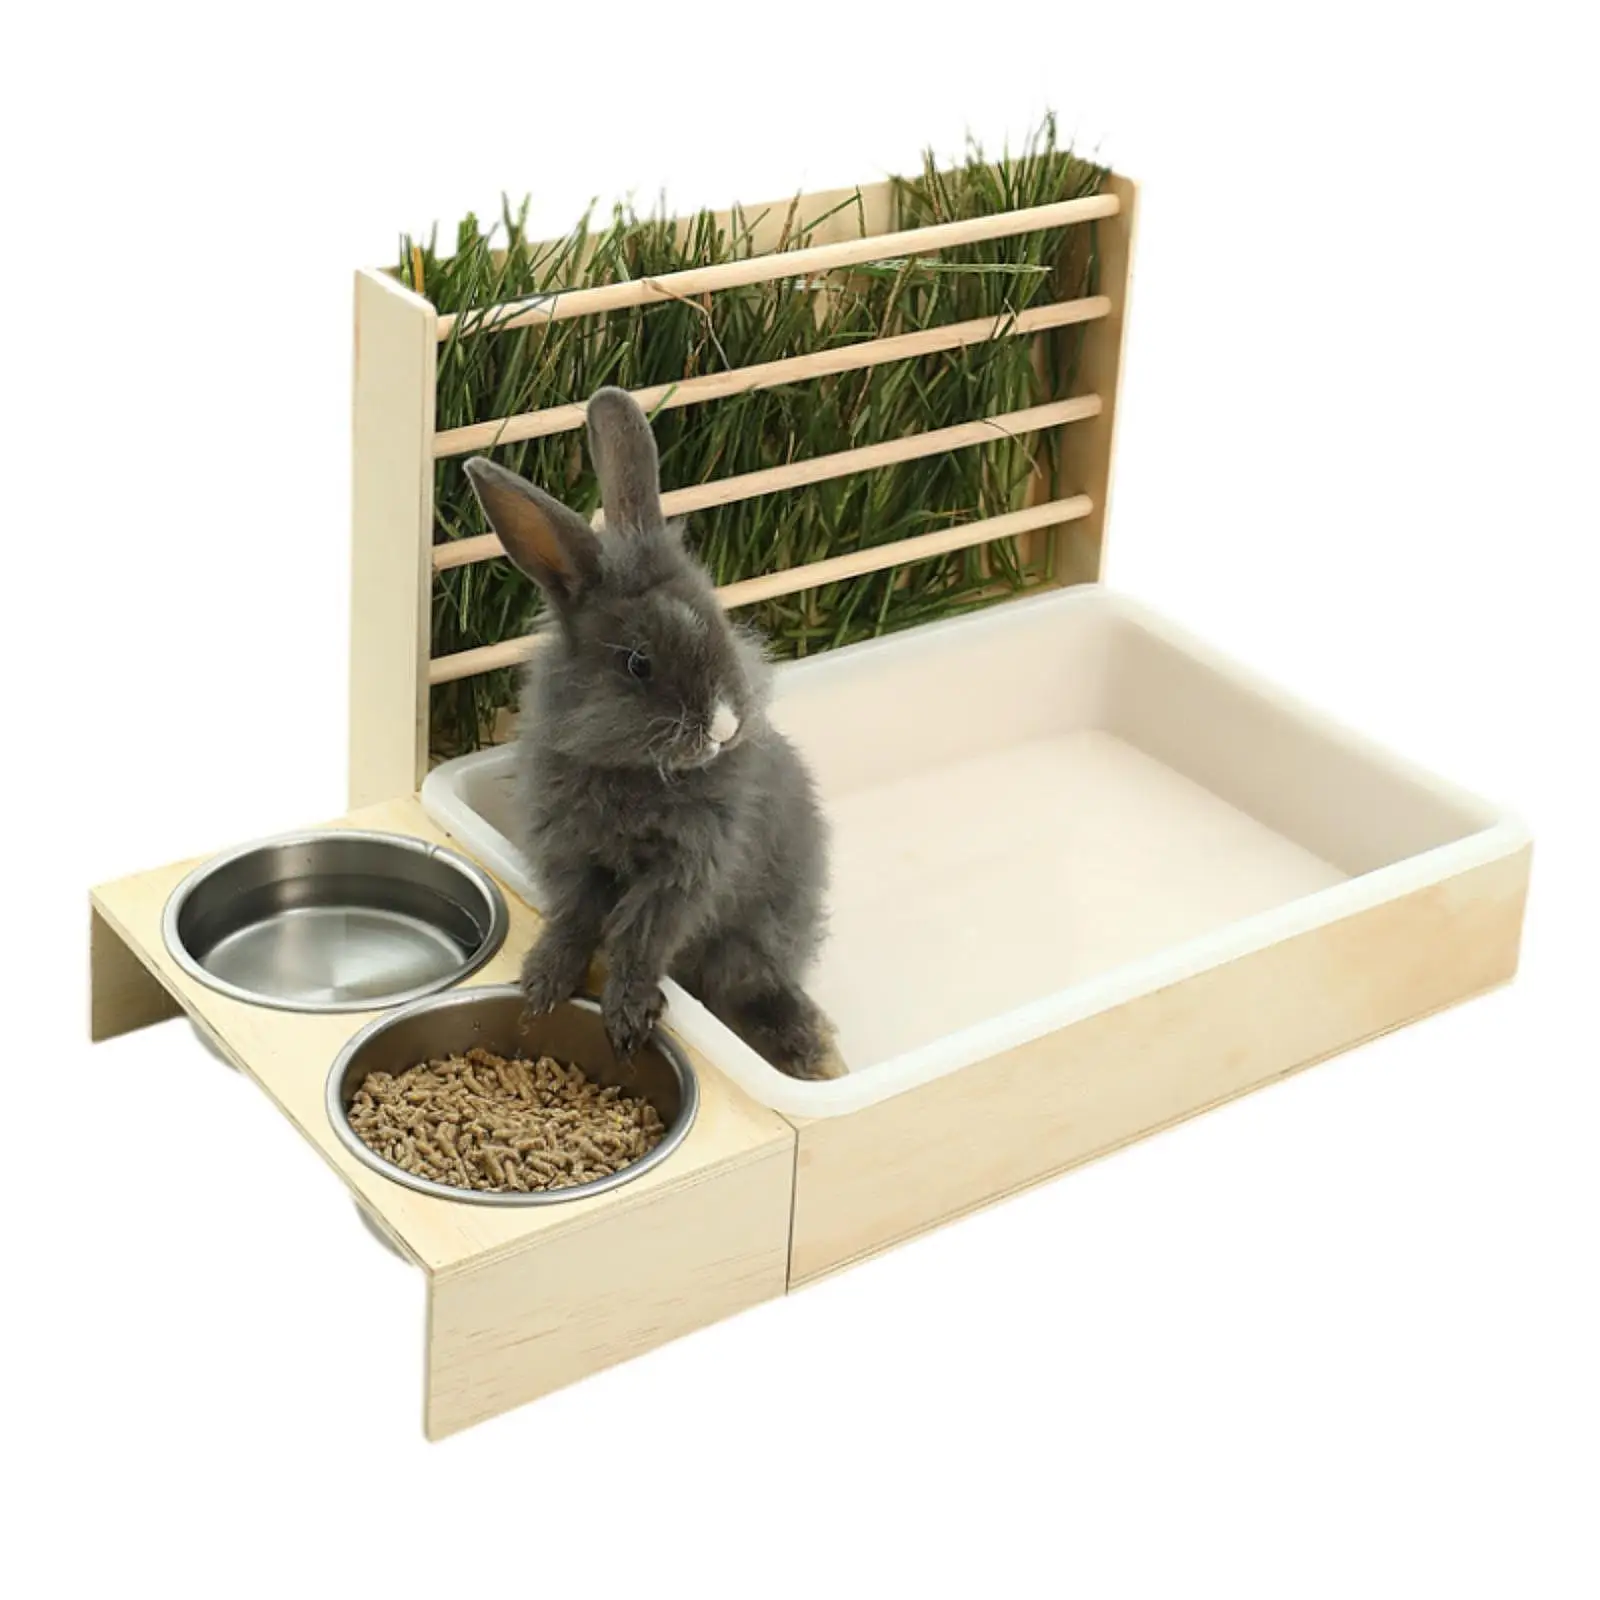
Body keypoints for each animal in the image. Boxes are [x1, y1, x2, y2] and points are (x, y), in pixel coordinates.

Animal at [462, 387, 846, 1081]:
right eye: (638, 663)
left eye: (720, 624)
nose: (724, 726)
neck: (630, 771)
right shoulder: (573, 856)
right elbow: (575, 922)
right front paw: (541, 986)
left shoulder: (684, 873)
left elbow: (640, 940)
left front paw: (627, 1016)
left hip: (756, 936)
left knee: (755, 986)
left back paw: (812, 1049)